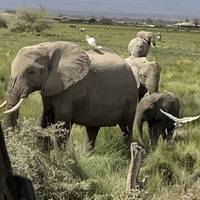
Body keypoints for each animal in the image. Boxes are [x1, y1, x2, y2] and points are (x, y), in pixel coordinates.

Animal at [1, 41, 138, 152]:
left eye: (31, 72)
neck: (48, 47)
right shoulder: (50, 88)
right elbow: (46, 115)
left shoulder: (68, 88)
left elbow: (63, 124)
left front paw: (60, 156)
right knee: (92, 129)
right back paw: (88, 156)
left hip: (130, 97)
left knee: (126, 128)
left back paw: (126, 154)